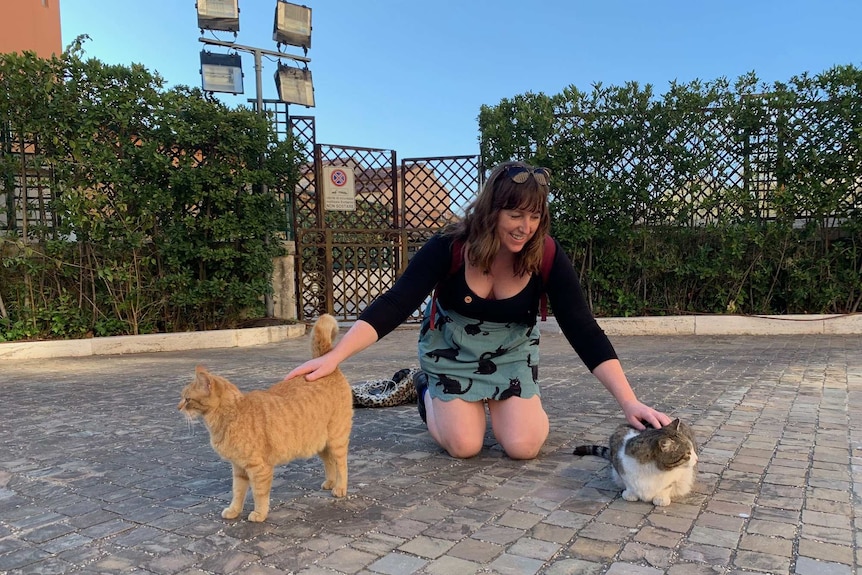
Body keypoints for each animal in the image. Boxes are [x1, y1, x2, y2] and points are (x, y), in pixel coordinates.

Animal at [179, 316, 354, 520]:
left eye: (187, 399)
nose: (178, 406)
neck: (232, 414)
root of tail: (324, 361)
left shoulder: (258, 468)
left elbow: (259, 494)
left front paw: (259, 514)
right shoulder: (239, 469)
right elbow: (237, 492)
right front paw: (233, 511)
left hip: (336, 439)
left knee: (342, 464)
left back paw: (340, 488)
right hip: (321, 443)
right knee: (329, 462)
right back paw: (330, 482)